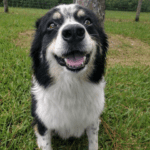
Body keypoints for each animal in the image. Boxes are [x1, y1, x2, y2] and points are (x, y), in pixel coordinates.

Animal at [30, 3, 108, 150]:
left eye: (87, 22)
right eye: (52, 25)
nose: (73, 32)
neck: (72, 85)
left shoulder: (92, 120)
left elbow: (93, 142)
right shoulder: (43, 123)